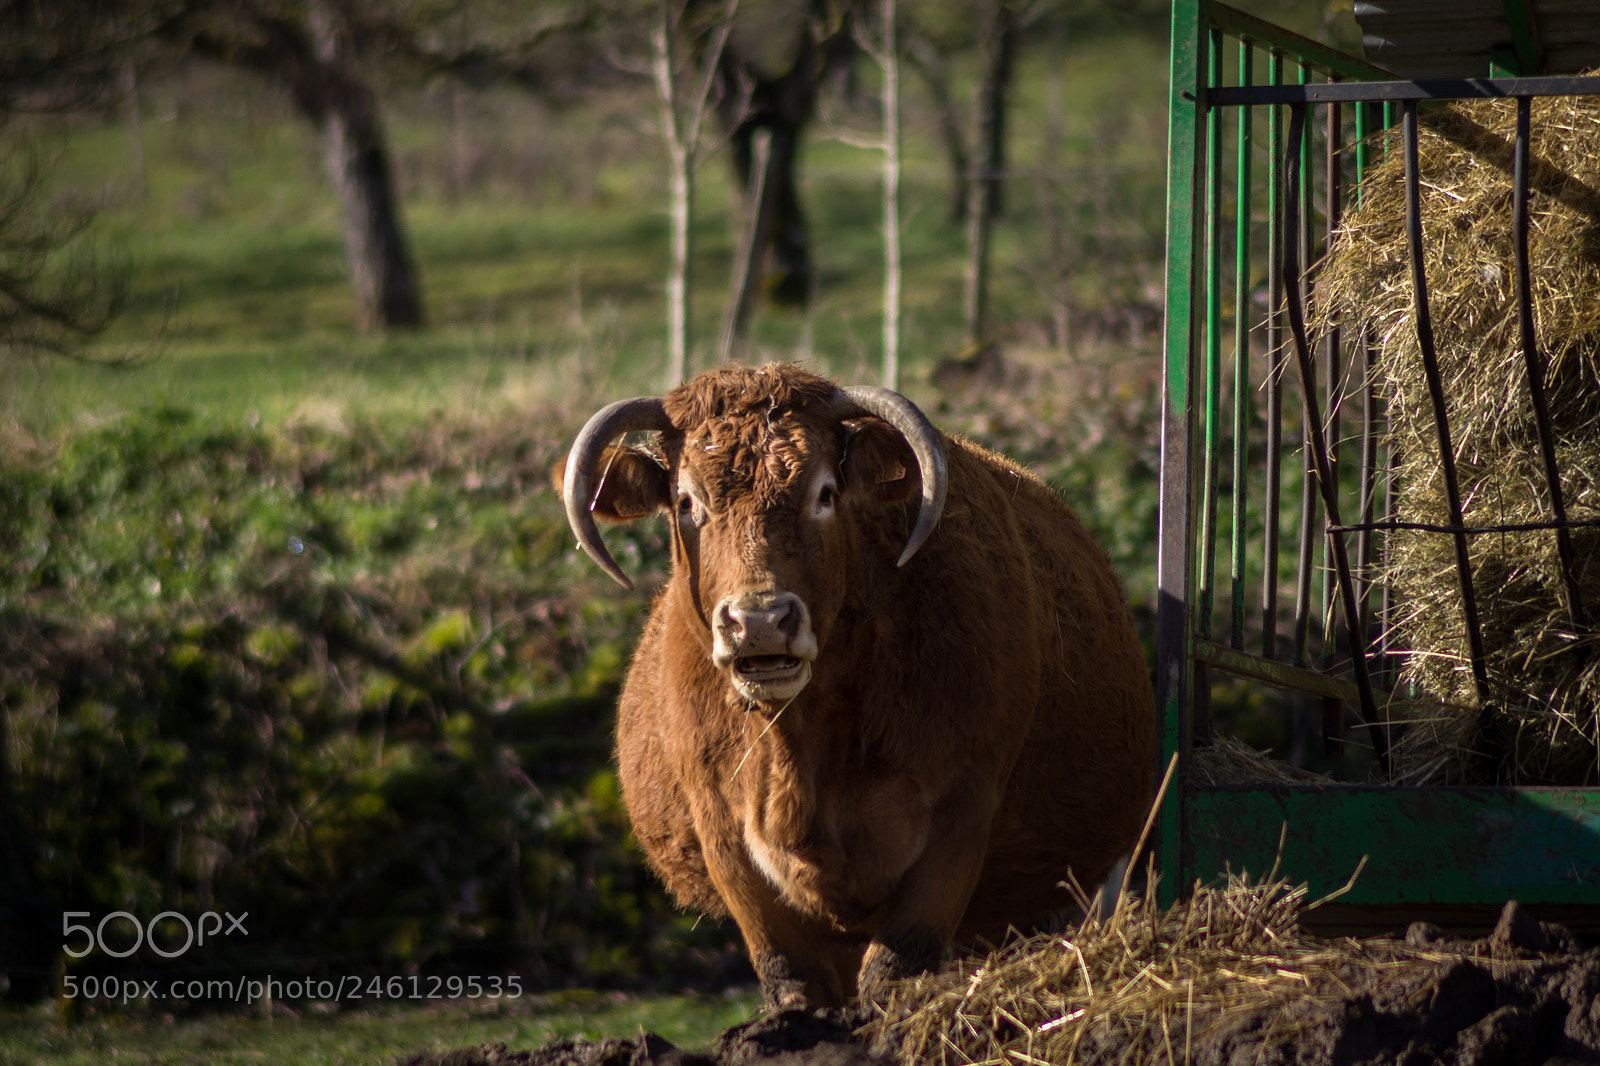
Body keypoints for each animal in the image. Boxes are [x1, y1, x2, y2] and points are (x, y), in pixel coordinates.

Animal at [559, 363, 1155, 1009]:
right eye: (687, 500)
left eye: (824, 493)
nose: (760, 620)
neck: (801, 749)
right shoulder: (725, 837)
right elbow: (793, 980)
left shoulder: (962, 813)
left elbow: (893, 969)